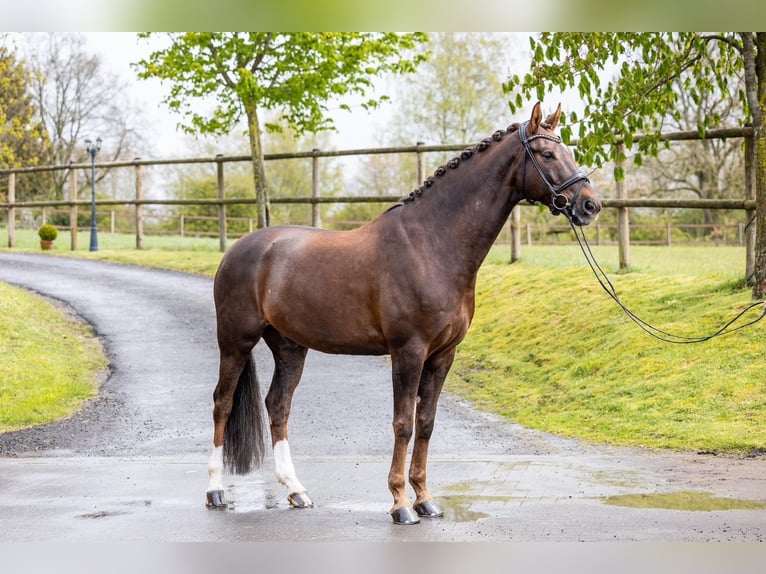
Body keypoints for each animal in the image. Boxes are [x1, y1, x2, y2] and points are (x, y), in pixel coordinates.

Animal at [207, 103, 604, 528]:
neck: (431, 244)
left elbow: (426, 423)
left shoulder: (443, 355)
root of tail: (238, 250)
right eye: (547, 155)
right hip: (235, 341)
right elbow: (403, 424)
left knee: (278, 406)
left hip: (289, 347)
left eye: (567, 152)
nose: (590, 206)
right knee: (222, 403)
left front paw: (425, 500)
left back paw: (296, 490)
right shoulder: (408, 352)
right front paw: (400, 504)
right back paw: (215, 490)